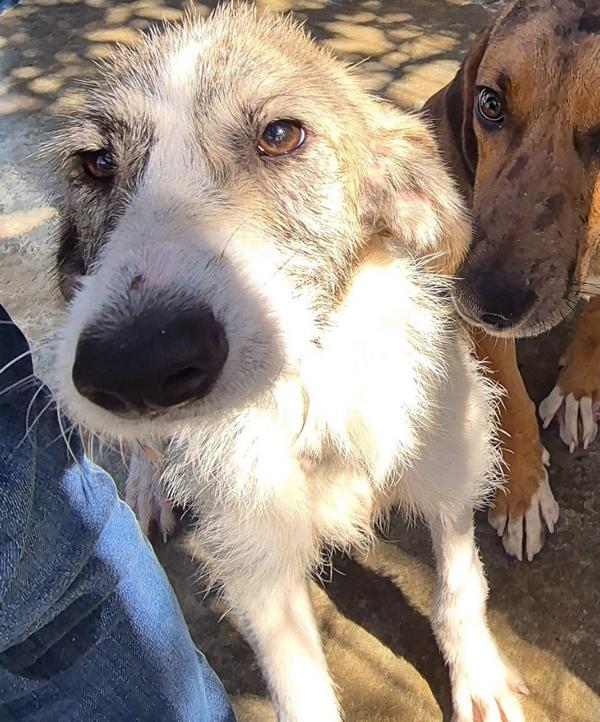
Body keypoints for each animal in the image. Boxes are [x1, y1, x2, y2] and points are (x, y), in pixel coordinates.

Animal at [51, 6, 525, 721]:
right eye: (97, 162)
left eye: (280, 134)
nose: (135, 363)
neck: (312, 395)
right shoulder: (261, 566)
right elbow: (299, 689)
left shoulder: (448, 458)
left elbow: (459, 583)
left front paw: (480, 679)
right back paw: (149, 483)